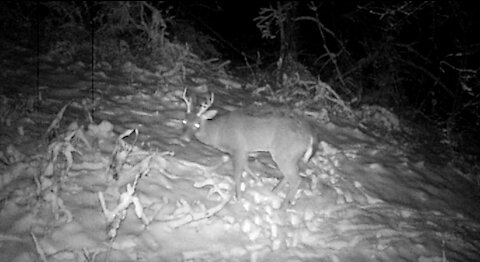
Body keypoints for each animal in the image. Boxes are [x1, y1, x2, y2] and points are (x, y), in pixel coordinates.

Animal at [180, 89, 316, 208]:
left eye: (197, 124)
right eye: (184, 121)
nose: (184, 139)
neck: (218, 132)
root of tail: (309, 137)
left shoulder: (238, 147)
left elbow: (237, 174)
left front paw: (238, 198)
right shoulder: (245, 150)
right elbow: (246, 166)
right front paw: (258, 180)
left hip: (284, 154)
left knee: (295, 179)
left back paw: (282, 208)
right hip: (292, 156)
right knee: (290, 176)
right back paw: (273, 192)